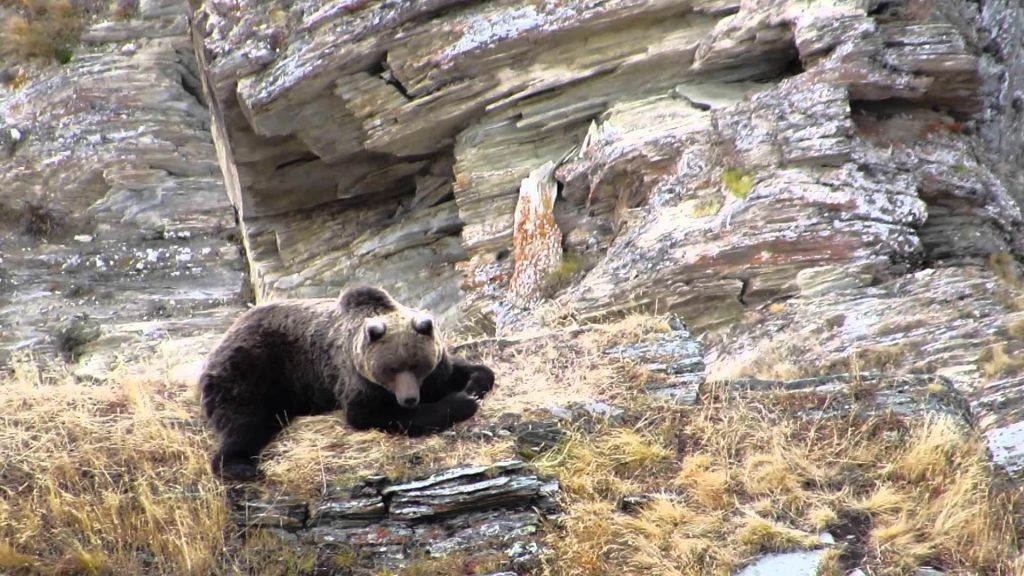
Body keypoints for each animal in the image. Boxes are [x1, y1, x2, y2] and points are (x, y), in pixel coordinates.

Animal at [197, 284, 493, 477]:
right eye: (391, 368)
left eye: (415, 365)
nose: (409, 398)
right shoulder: (354, 378)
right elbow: (370, 414)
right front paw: (461, 402)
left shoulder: (434, 371)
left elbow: (463, 372)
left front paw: (472, 386)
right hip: (252, 371)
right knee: (245, 421)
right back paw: (241, 466)